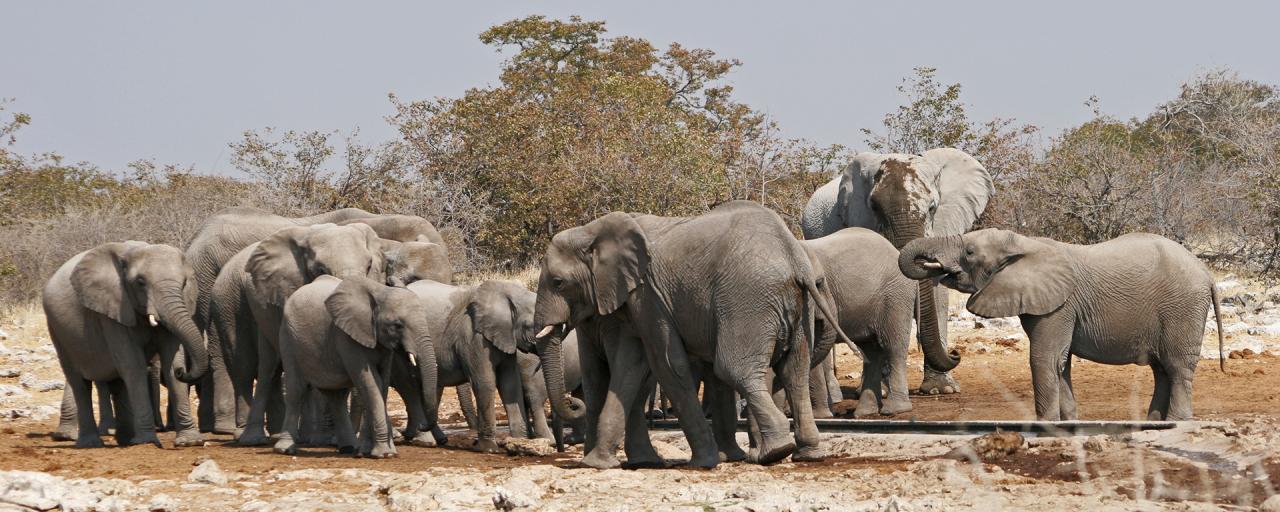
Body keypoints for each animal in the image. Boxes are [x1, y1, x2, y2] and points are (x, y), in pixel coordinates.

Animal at [42, 241, 208, 445]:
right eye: (140, 282)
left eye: (184, 283)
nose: (183, 372)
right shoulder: (113, 309)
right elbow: (133, 366)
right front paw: (147, 442)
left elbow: (171, 361)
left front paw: (190, 441)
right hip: (57, 330)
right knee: (79, 382)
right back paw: (91, 443)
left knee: (116, 382)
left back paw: (126, 439)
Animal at [272, 273, 437, 458]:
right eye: (397, 325)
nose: (422, 426)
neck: (380, 291)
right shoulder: (346, 337)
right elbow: (371, 383)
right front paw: (384, 453)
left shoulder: (383, 346)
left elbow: (382, 384)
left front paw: (370, 451)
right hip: (288, 337)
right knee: (296, 390)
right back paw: (284, 449)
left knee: (337, 397)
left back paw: (349, 448)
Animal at [529, 200, 849, 468]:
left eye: (558, 282)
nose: (574, 403)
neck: (592, 230)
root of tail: (793, 257)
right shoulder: (638, 304)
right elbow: (634, 365)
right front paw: (601, 464)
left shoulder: (650, 297)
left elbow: (668, 365)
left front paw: (704, 462)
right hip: (795, 305)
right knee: (794, 371)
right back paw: (806, 454)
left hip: (746, 301)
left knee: (734, 369)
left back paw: (773, 453)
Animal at [798, 147, 988, 396]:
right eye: (874, 208)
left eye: (932, 208)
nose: (956, 353)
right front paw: (881, 392)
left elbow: (937, 295)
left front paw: (941, 390)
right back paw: (836, 394)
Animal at [896, 230, 1223, 422]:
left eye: (969, 252)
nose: (956, 352)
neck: (1024, 243)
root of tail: (1206, 273)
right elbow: (1060, 364)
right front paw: (1067, 424)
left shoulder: (1060, 305)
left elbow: (1045, 359)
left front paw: (1046, 425)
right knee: (1161, 370)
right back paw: (1154, 424)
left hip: (1182, 309)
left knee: (1177, 368)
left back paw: (1176, 423)